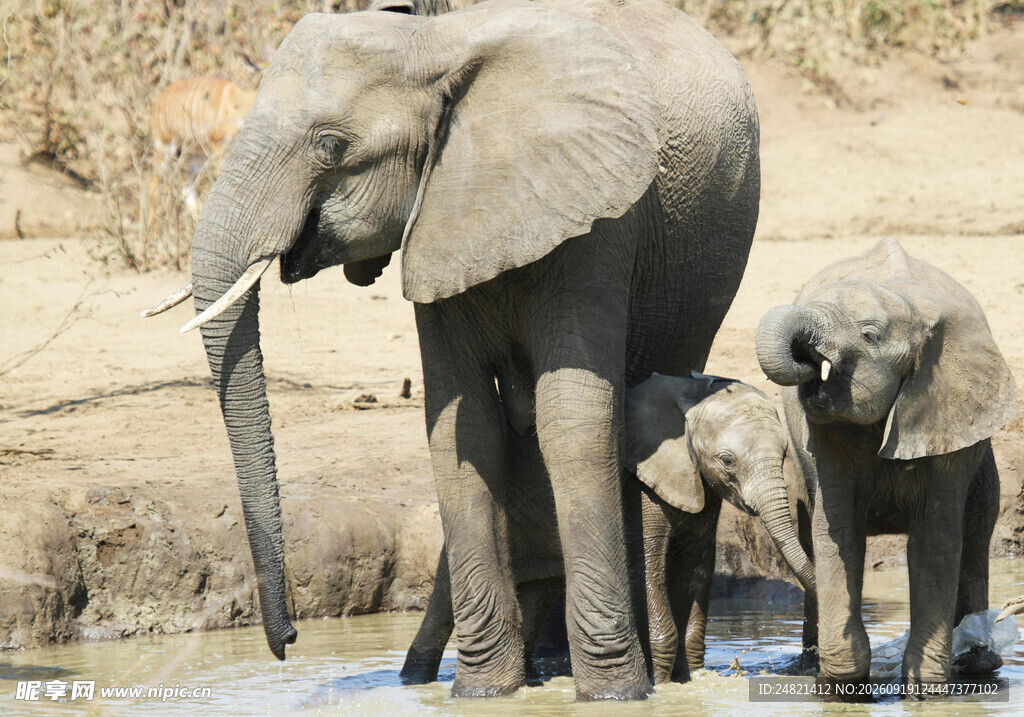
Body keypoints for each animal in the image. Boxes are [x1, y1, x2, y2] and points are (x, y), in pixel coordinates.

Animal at [148, 0, 760, 700]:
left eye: (331, 145)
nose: (290, 641)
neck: (433, 45)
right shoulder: (436, 220)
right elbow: (462, 424)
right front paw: (488, 691)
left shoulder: (600, 221)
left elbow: (571, 419)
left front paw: (614, 693)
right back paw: (550, 666)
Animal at [400, 373, 816, 686]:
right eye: (727, 461)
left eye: (784, 455)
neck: (690, 394)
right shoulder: (638, 484)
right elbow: (645, 569)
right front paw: (661, 682)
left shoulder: (700, 488)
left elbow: (696, 570)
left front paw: (691, 677)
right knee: (445, 596)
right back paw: (414, 680)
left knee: (539, 591)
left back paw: (532, 680)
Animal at [755, 237, 1016, 697]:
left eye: (870, 335)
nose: (805, 355)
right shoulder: (825, 437)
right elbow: (837, 535)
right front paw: (842, 687)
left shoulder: (941, 413)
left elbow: (933, 541)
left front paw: (927, 692)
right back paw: (807, 666)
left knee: (977, 531)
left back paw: (978, 664)